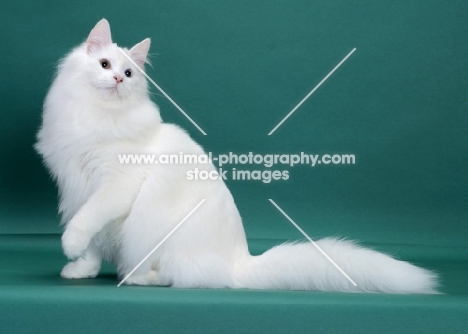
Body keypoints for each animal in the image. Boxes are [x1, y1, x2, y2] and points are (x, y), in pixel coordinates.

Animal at [36, 19, 438, 294]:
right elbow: (91, 241)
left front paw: (70, 246)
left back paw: (135, 278)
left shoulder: (114, 187)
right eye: (105, 65)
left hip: (156, 237)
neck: (98, 117)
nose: (118, 80)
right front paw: (81, 269)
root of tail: (239, 263)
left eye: (129, 72)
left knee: (175, 275)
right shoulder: (75, 187)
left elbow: (85, 222)